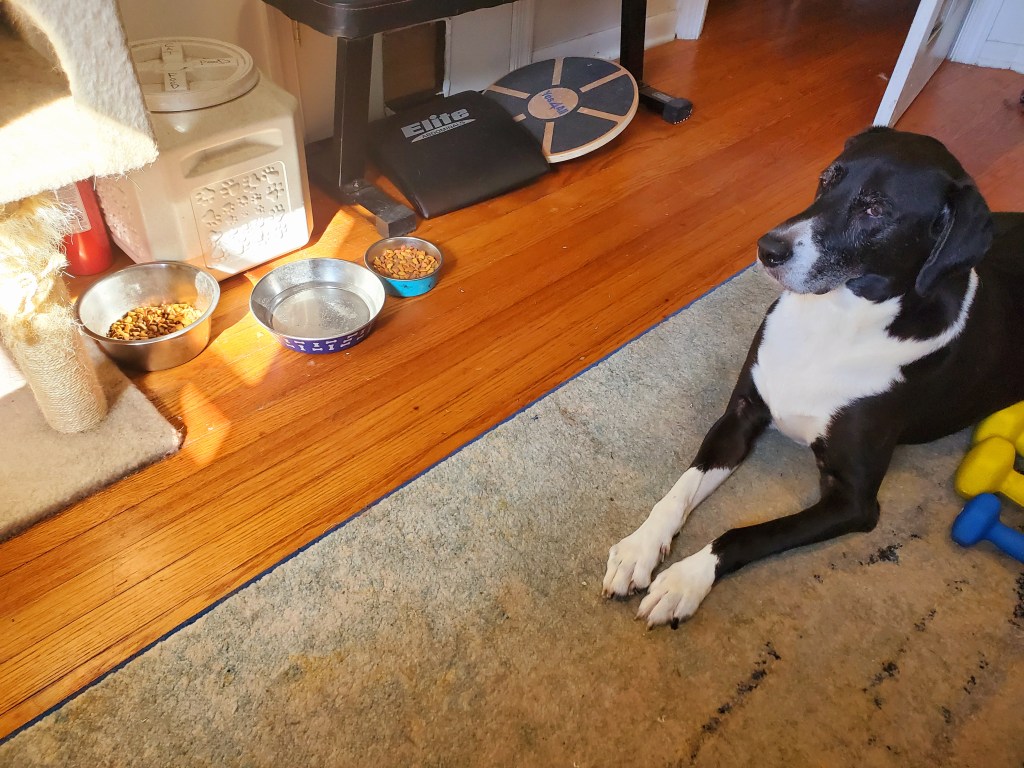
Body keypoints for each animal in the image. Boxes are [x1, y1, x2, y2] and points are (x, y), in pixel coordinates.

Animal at [602, 126, 1024, 628]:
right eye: (828, 179)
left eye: (876, 209)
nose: (767, 248)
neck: (833, 320)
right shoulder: (742, 414)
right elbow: (680, 488)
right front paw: (640, 547)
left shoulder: (853, 500)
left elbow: (746, 533)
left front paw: (685, 580)